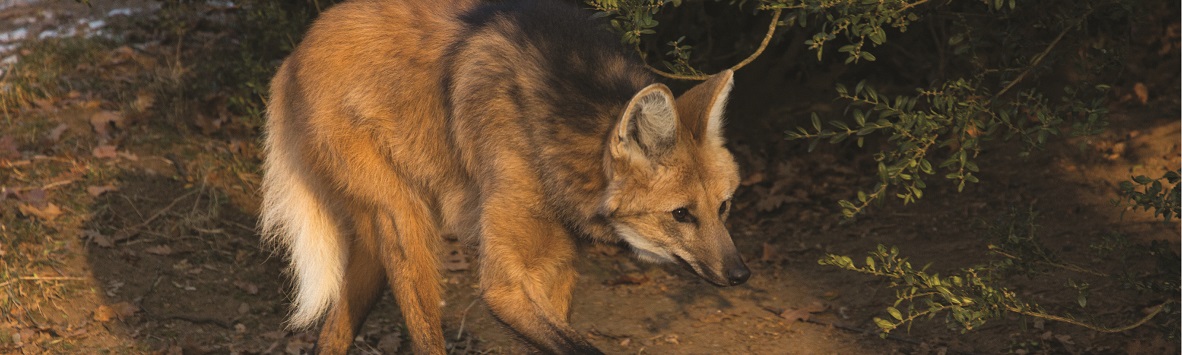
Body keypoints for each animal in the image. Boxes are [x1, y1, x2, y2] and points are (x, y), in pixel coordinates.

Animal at [264, 0, 751, 352]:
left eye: (723, 207)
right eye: (681, 214)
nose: (741, 275)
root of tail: (299, 48)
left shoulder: (557, 265)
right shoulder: (506, 286)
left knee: (333, 331)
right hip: (407, 224)